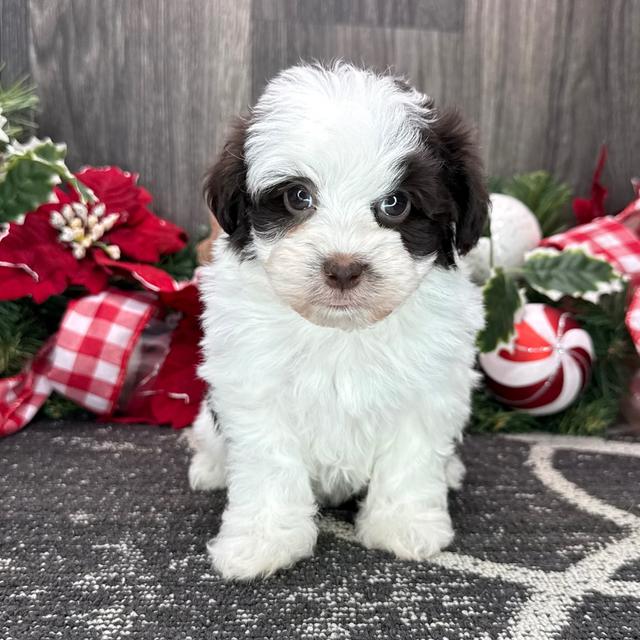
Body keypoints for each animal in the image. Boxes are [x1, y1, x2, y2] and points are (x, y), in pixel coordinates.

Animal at [188, 61, 488, 580]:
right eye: (298, 197)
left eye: (395, 204)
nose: (343, 268)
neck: (341, 331)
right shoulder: (254, 384)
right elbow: (268, 462)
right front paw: (264, 541)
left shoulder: (429, 385)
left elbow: (411, 455)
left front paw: (403, 525)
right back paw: (210, 468)